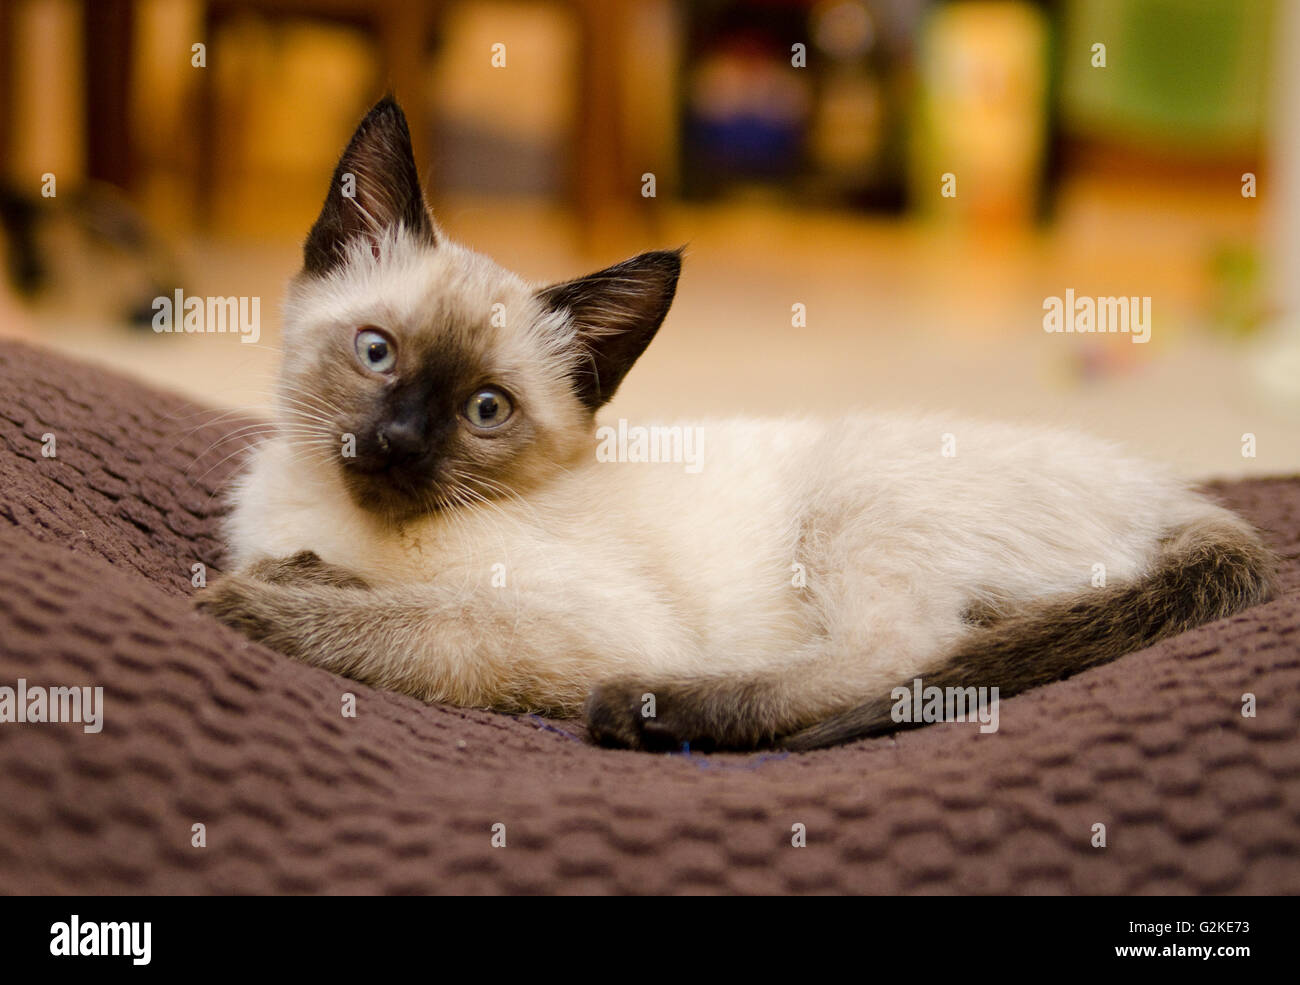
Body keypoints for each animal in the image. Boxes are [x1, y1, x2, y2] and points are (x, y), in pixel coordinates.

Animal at [197, 98, 1274, 748]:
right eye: (377, 354)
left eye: (485, 410)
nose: (397, 444)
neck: (350, 517)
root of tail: (1168, 489)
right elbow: (358, 590)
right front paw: (301, 576)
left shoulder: (582, 621)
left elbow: (413, 625)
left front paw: (250, 608)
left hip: (851, 503)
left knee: (905, 656)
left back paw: (654, 709)